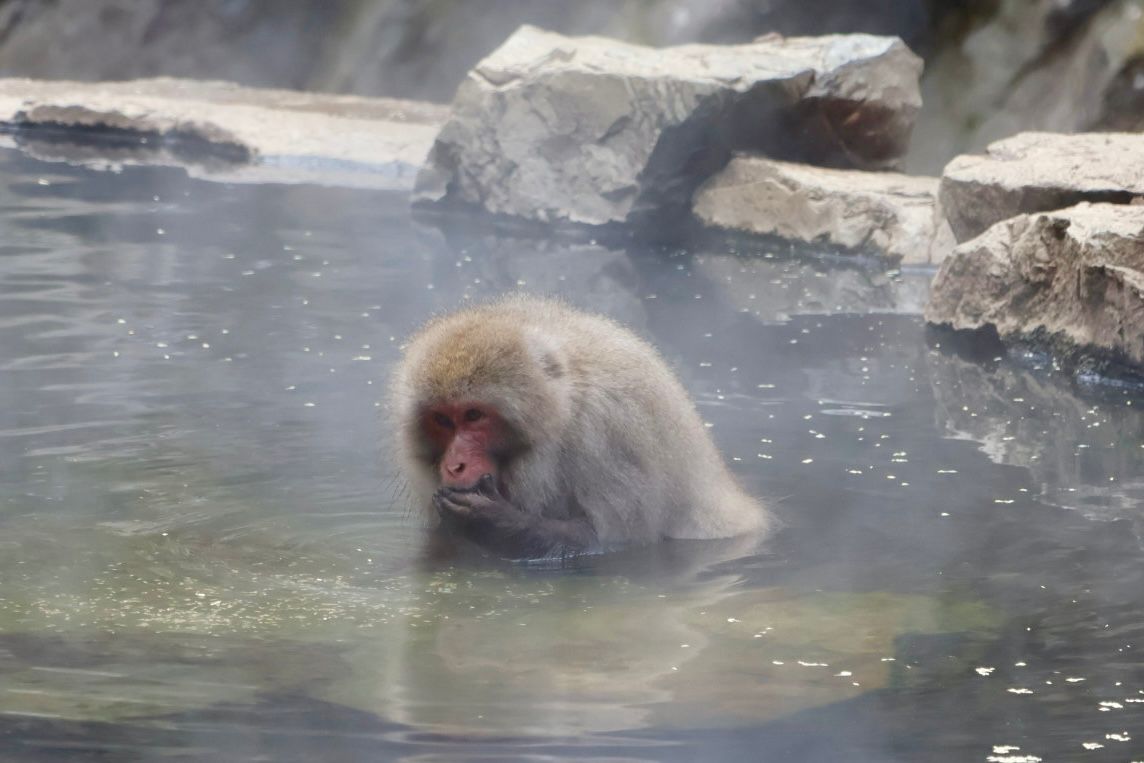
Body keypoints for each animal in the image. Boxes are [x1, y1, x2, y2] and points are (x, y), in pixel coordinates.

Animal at [390, 295, 769, 560]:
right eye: (442, 420)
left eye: (473, 415)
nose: (455, 465)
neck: (563, 413)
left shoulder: (613, 433)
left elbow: (612, 540)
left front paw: (498, 522)